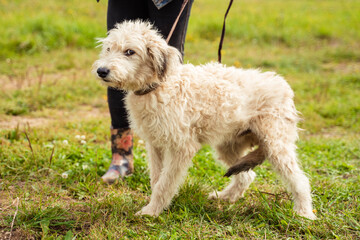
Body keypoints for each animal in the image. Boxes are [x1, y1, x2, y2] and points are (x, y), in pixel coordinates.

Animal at [92, 20, 316, 219]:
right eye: (109, 48)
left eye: (130, 52)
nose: (101, 71)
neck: (157, 86)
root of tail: (284, 86)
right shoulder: (155, 144)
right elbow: (156, 179)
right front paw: (154, 207)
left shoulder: (182, 147)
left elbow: (165, 184)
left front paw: (151, 212)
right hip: (228, 146)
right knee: (247, 176)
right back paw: (225, 197)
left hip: (275, 146)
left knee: (300, 180)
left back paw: (304, 213)